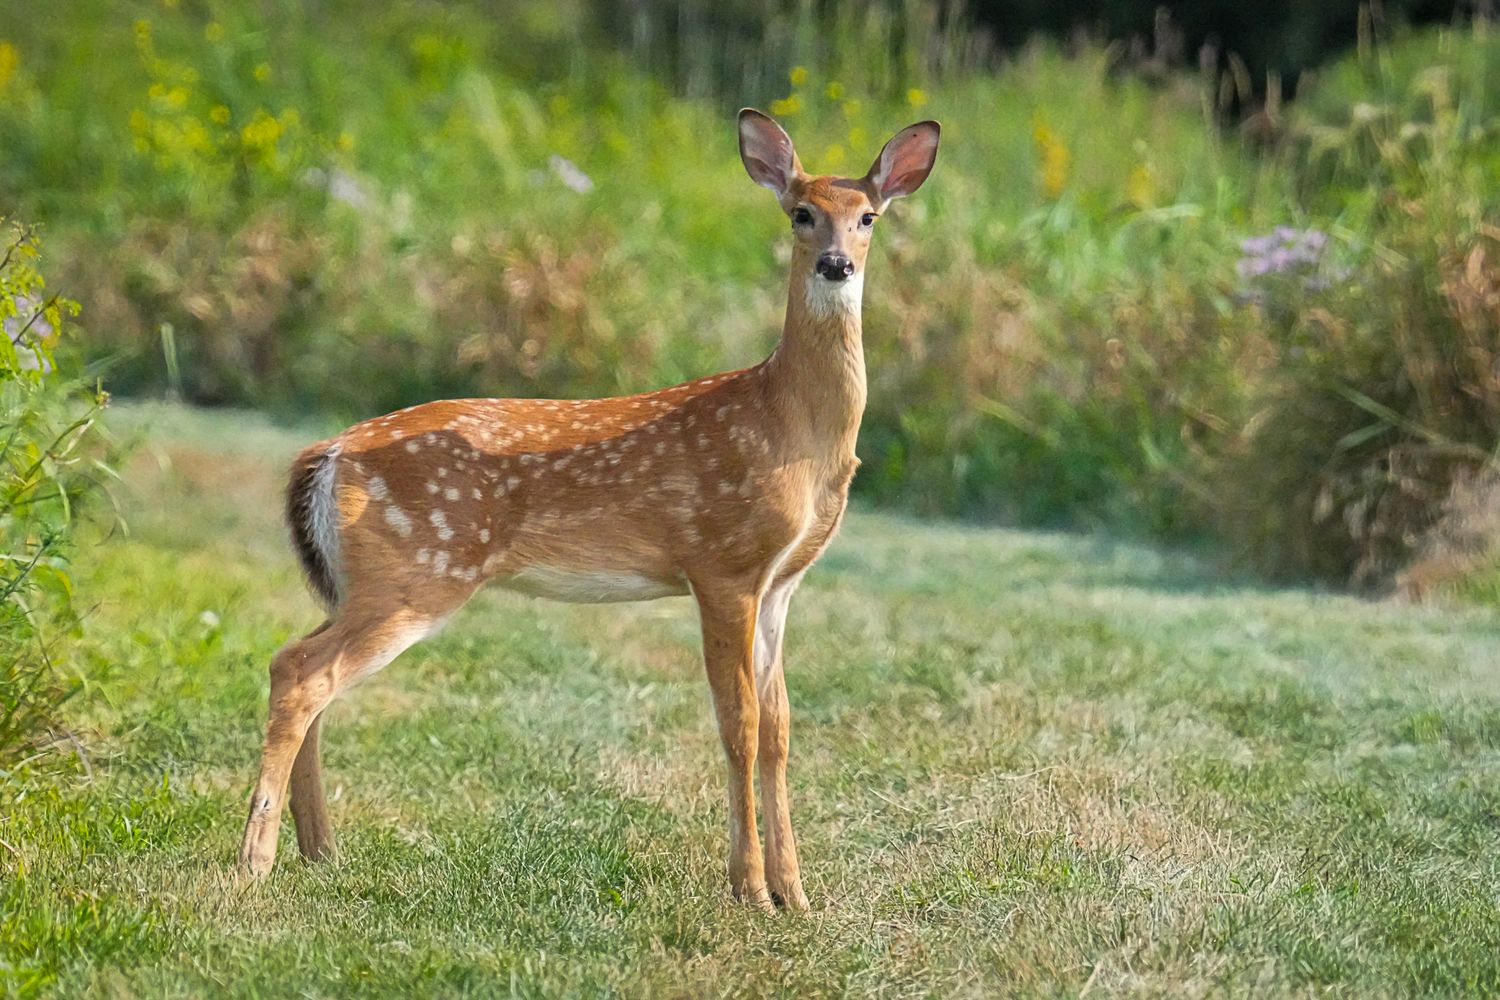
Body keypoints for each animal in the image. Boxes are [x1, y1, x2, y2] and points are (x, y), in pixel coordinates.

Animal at [237, 108, 940, 911]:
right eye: (801, 213)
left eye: (868, 217)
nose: (836, 264)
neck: (792, 426)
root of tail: (325, 452)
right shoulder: (722, 562)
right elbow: (739, 725)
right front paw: (750, 891)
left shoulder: (781, 584)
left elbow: (781, 729)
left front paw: (795, 895)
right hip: (418, 571)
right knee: (299, 670)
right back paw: (254, 862)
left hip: (363, 580)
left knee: (307, 670)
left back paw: (320, 851)